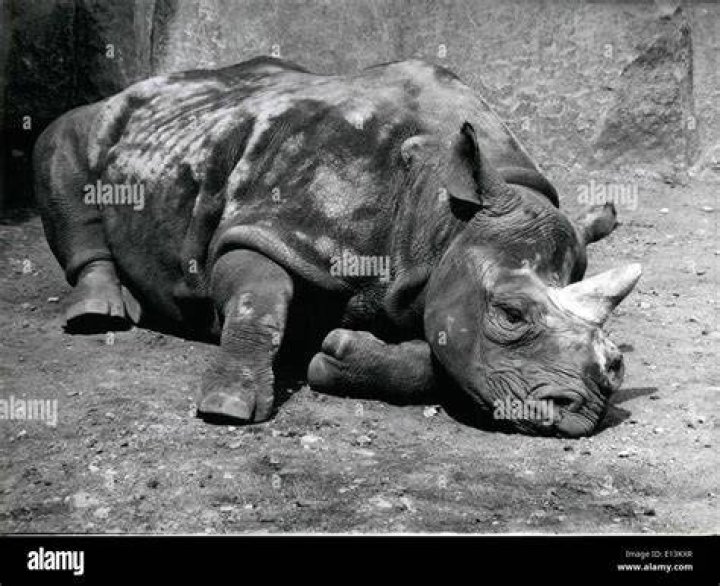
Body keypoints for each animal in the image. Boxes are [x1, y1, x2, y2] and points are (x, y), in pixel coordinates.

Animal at [34, 57, 640, 437]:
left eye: (616, 358)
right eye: (512, 314)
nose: (581, 410)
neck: (443, 217)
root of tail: (150, 81)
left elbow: (441, 357)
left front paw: (336, 357)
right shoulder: (273, 228)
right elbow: (259, 297)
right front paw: (228, 406)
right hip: (110, 118)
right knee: (64, 140)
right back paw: (98, 313)